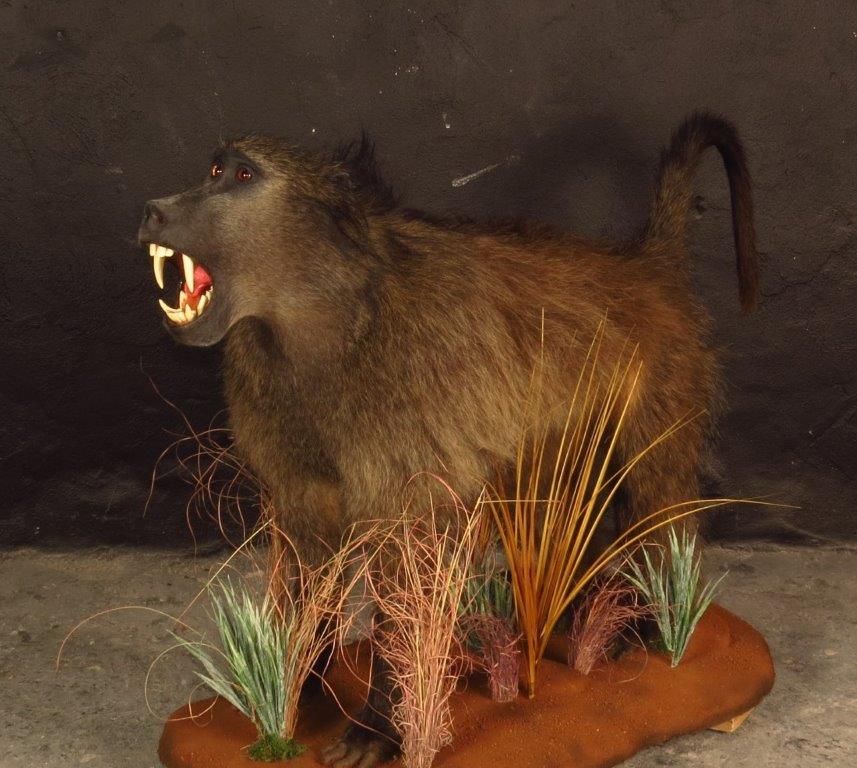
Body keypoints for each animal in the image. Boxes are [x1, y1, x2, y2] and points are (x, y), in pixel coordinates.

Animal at [138, 111, 758, 767]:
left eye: (243, 175)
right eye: (213, 168)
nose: (153, 211)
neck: (334, 316)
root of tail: (646, 266)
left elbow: (403, 586)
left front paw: (377, 730)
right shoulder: (295, 458)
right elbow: (312, 568)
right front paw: (289, 690)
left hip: (662, 385)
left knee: (654, 504)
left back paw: (647, 628)